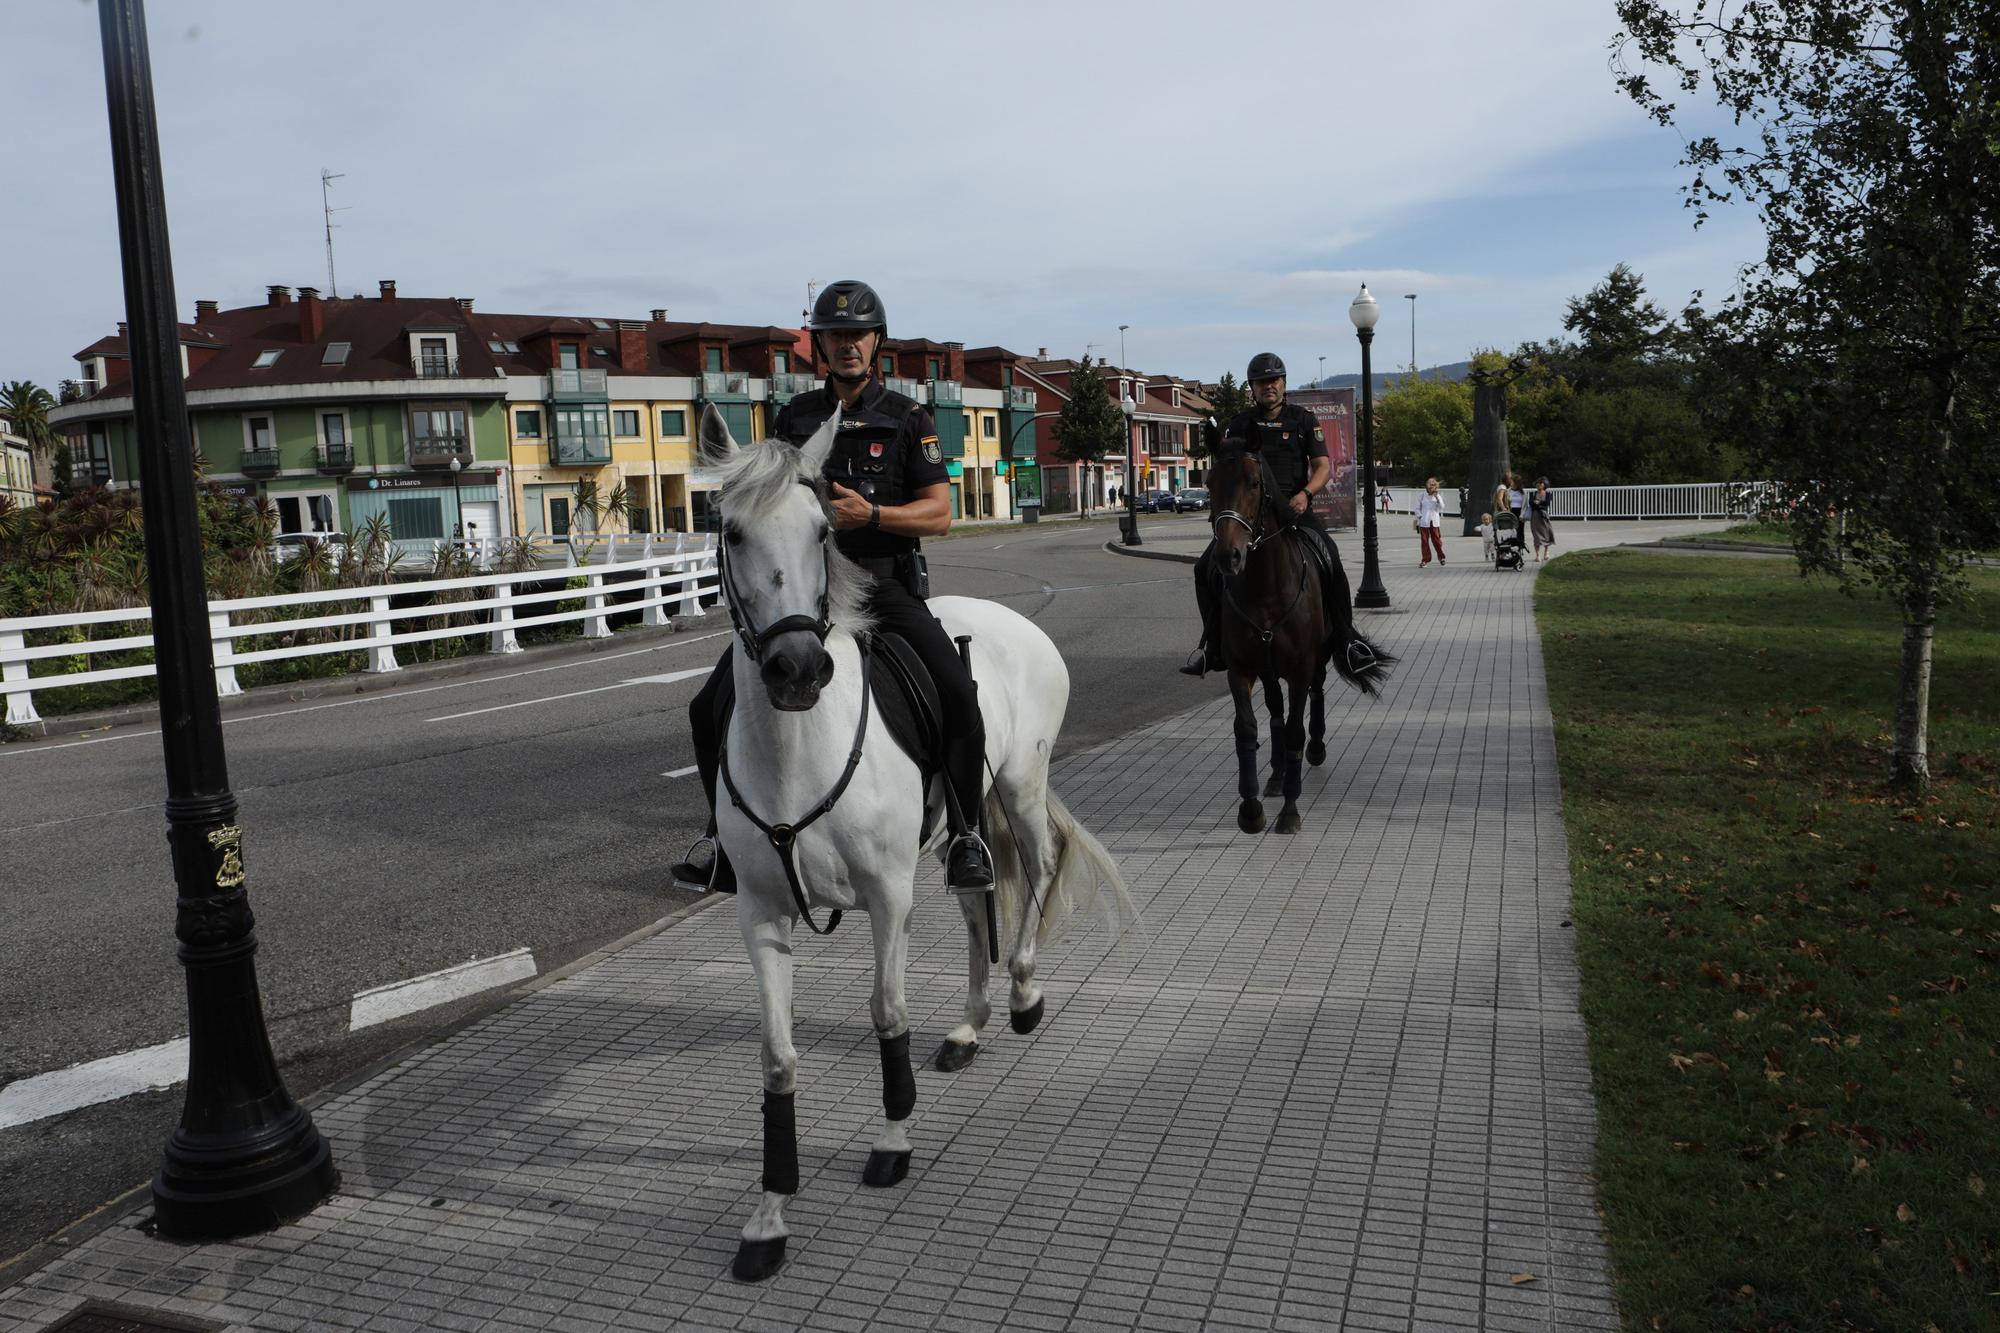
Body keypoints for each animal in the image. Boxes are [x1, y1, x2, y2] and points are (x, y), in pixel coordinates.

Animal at [700, 402, 1144, 1280]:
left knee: (1035, 870)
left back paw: (1022, 993)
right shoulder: (759, 916)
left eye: (822, 528)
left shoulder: (887, 896)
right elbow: (777, 1058)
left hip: (1018, 787)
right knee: (978, 905)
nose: (797, 669)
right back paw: (970, 1025)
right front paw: (769, 1216)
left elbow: (887, 1013)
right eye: (730, 530)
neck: (797, 751)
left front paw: (893, 1140)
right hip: (957, 829)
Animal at [1200, 440, 1392, 824]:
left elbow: (1294, 730)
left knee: (1314, 697)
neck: (1265, 589)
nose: (1229, 557)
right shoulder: (1241, 668)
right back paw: (1276, 775)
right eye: (1210, 483)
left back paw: (1314, 750)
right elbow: (1248, 728)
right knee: (1275, 711)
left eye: (1254, 483)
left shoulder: (1301, 668)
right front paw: (1251, 808)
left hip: (1316, 658)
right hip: (1269, 668)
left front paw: (1289, 811)